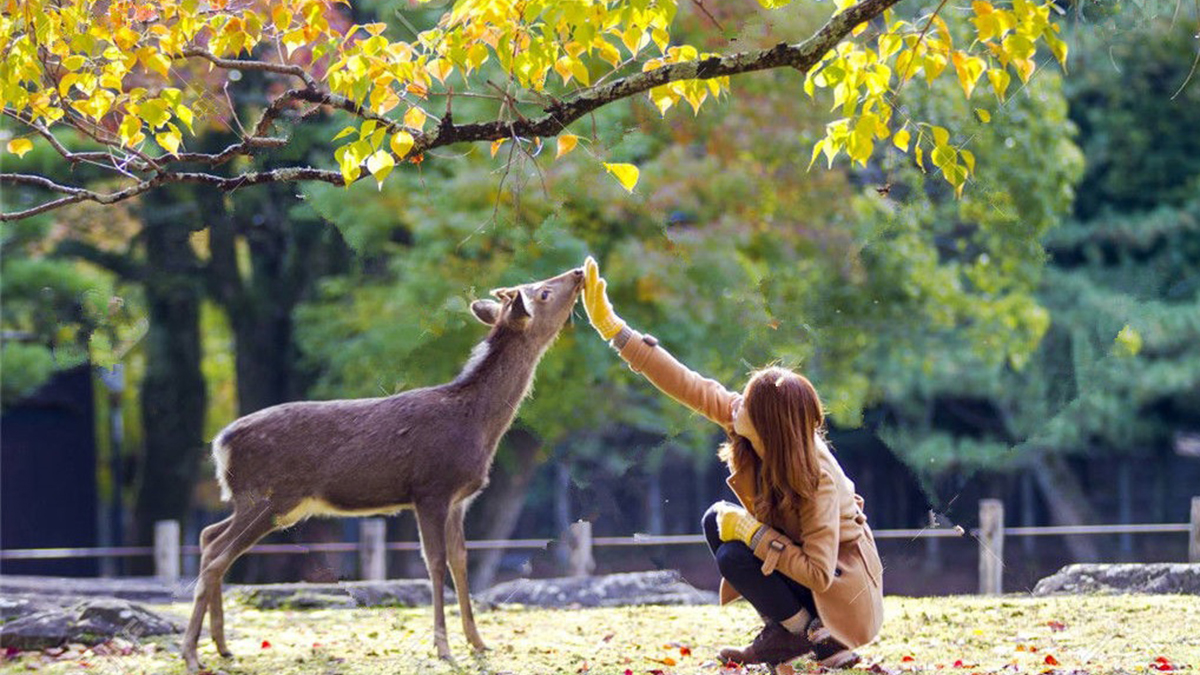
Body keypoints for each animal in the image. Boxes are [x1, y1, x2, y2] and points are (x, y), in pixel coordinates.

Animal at [181, 265, 585, 667]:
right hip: (271, 497)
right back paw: (191, 654)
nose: (580, 271)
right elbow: (435, 562)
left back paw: (221, 645)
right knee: (217, 557)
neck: (478, 425)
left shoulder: (459, 499)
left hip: (259, 502)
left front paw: (479, 642)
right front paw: (443, 648)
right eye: (543, 292)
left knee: (208, 537)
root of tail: (220, 443)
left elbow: (460, 560)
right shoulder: (431, 488)